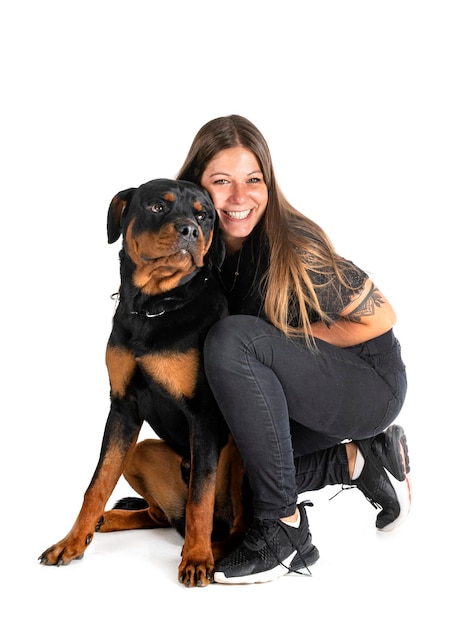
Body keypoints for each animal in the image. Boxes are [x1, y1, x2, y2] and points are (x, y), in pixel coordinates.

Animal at [38, 177, 249, 584]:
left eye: (204, 214)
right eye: (157, 207)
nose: (190, 230)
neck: (155, 307)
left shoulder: (203, 413)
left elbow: (200, 495)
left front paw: (196, 559)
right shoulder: (123, 407)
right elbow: (98, 483)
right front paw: (70, 542)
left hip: (239, 455)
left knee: (230, 524)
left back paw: (209, 550)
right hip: (142, 451)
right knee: (158, 515)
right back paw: (107, 521)